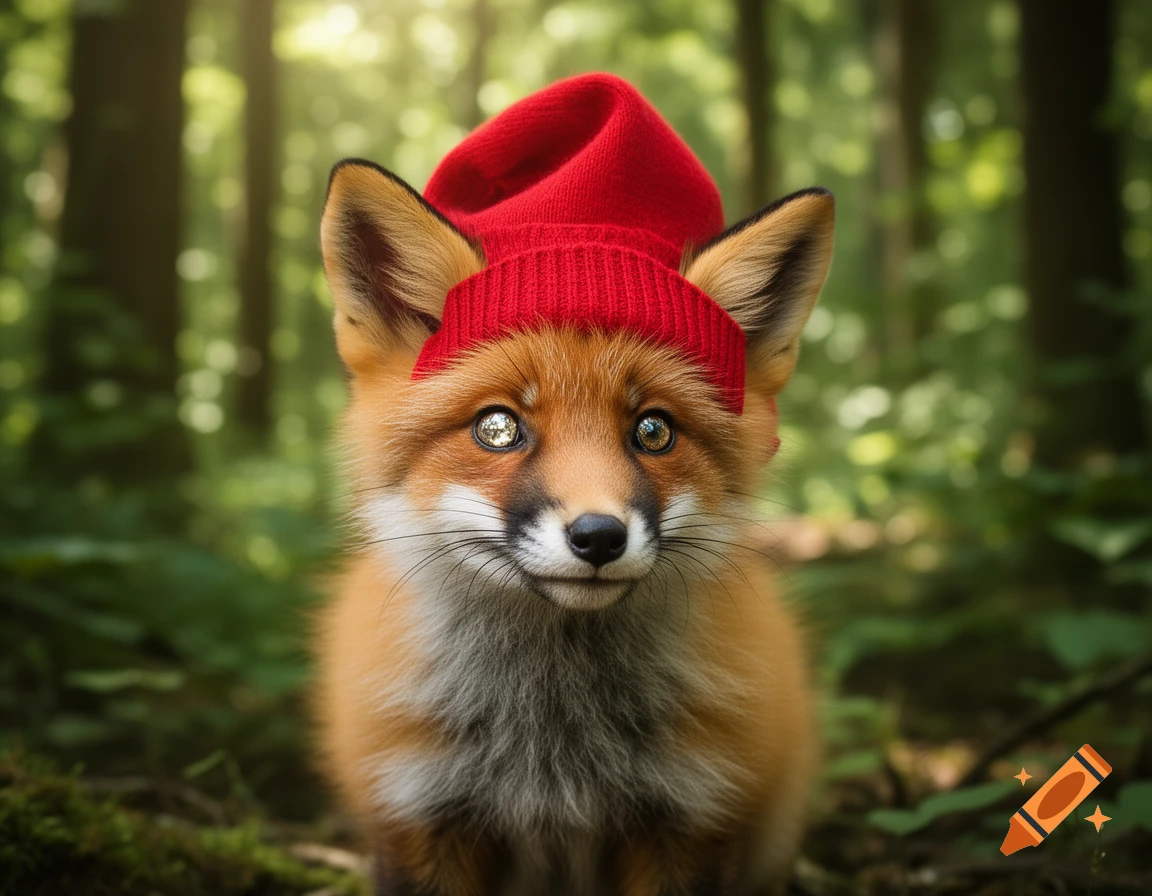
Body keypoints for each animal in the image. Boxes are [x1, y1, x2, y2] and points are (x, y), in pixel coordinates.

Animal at [313, 76, 833, 896]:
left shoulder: (690, 819)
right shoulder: (418, 816)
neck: (554, 743)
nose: (598, 536)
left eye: (653, 431)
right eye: (498, 428)